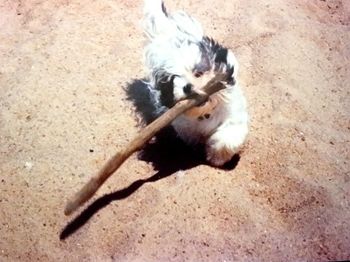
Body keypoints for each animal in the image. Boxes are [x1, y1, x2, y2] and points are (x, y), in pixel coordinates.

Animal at [133, 0, 247, 167]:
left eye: (198, 73)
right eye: (173, 80)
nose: (187, 87)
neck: (205, 113)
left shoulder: (233, 115)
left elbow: (228, 137)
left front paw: (217, 156)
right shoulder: (186, 129)